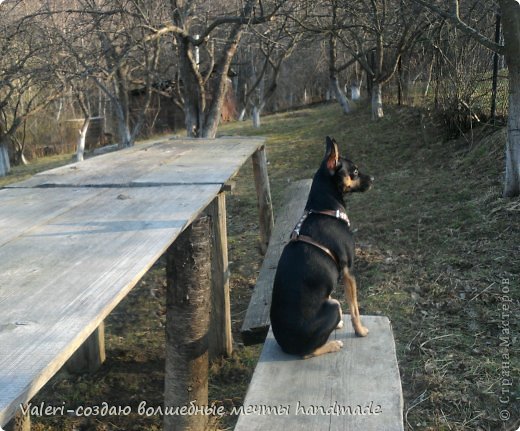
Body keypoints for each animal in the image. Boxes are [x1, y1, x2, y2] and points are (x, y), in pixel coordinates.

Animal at [270, 137, 372, 360]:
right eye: (355, 171)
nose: (373, 179)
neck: (325, 209)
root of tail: (286, 347)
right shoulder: (348, 271)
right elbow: (355, 308)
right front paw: (360, 331)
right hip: (333, 307)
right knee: (308, 353)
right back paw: (332, 344)